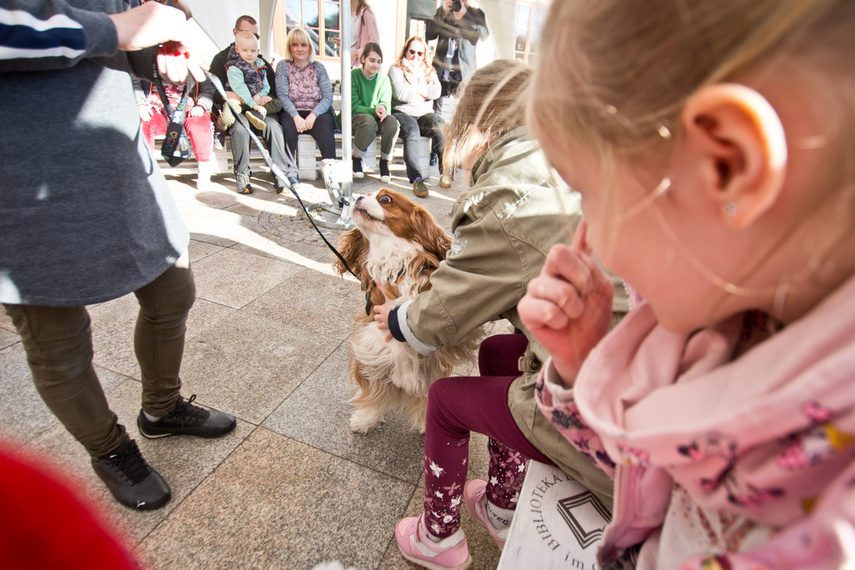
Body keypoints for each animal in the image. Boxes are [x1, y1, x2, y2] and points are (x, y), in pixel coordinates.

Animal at [334, 189, 482, 432]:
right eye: (366, 194)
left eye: (385, 199)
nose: (356, 197)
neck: (394, 260)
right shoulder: (373, 316)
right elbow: (394, 333)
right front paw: (408, 378)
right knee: (374, 392)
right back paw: (365, 419)